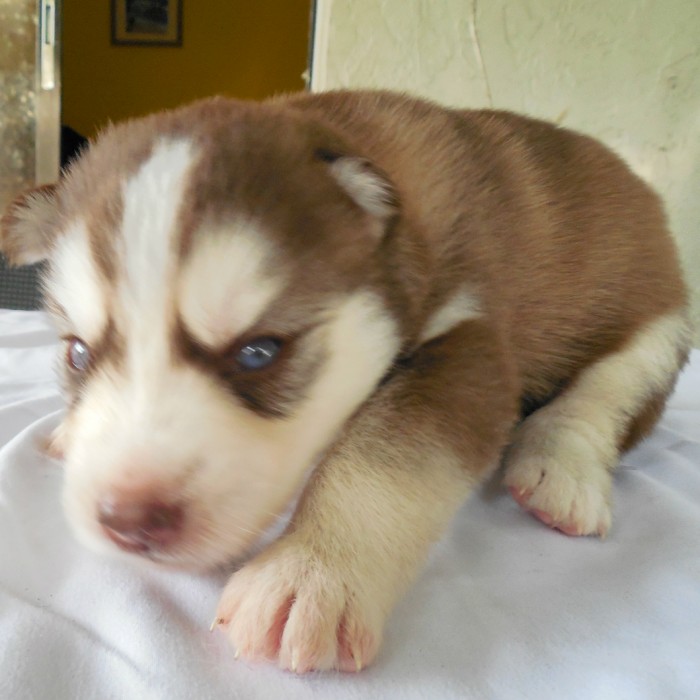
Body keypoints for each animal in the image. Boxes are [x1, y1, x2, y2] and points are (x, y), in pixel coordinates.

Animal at [0, 90, 688, 668]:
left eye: (258, 352)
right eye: (78, 354)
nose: (127, 519)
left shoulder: (467, 339)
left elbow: (382, 461)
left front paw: (311, 576)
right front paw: (71, 432)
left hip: (656, 322)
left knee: (606, 396)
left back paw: (559, 467)